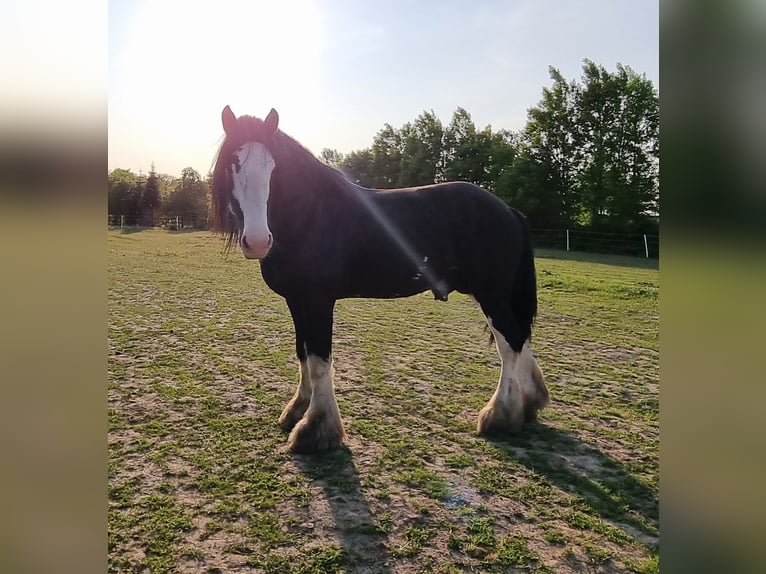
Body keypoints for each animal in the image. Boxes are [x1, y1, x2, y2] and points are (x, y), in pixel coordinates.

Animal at [207, 106, 548, 452]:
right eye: (234, 163)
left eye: (273, 166)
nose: (258, 241)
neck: (311, 215)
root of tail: (508, 210)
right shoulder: (297, 300)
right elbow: (302, 354)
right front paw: (297, 411)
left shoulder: (318, 302)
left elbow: (319, 362)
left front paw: (316, 430)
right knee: (521, 338)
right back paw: (529, 403)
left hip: (492, 295)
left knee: (510, 345)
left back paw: (499, 416)